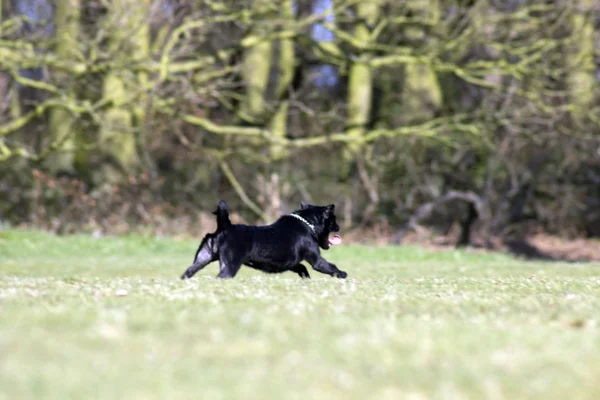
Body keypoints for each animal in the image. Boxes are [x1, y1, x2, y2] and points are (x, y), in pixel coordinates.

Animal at [180, 199, 344, 280]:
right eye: (334, 219)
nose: (338, 226)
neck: (307, 222)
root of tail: (225, 226)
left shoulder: (291, 263)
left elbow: (302, 268)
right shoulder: (316, 260)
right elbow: (330, 267)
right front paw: (343, 274)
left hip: (202, 259)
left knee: (188, 273)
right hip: (229, 266)